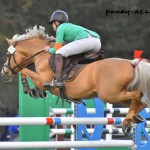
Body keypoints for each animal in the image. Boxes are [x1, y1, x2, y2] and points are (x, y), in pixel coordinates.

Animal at [0, 25, 150, 135]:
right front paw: (36, 92)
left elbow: (24, 71)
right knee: (141, 100)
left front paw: (27, 89)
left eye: (7, 55)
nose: (4, 73)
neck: (41, 55)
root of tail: (132, 63)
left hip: (110, 95)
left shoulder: (42, 79)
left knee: (138, 95)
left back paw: (128, 120)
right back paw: (133, 119)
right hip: (119, 95)